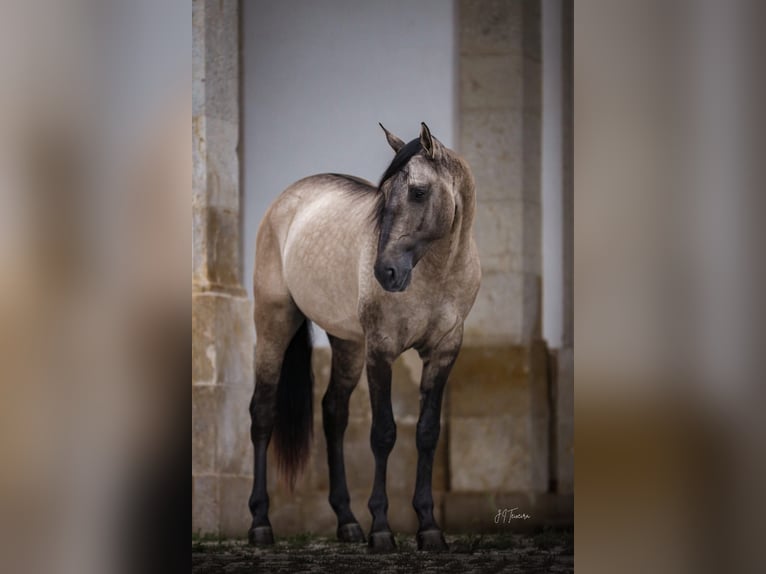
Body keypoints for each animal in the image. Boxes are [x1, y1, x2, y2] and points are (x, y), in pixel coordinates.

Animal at [249, 121, 484, 552]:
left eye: (418, 191)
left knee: (333, 414)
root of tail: (287, 200)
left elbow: (427, 433)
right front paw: (382, 530)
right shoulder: (381, 350)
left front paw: (429, 528)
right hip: (275, 322)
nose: (385, 272)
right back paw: (260, 524)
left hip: (347, 344)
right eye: (383, 194)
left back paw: (347, 522)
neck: (436, 275)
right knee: (262, 413)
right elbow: (384, 434)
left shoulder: (443, 353)